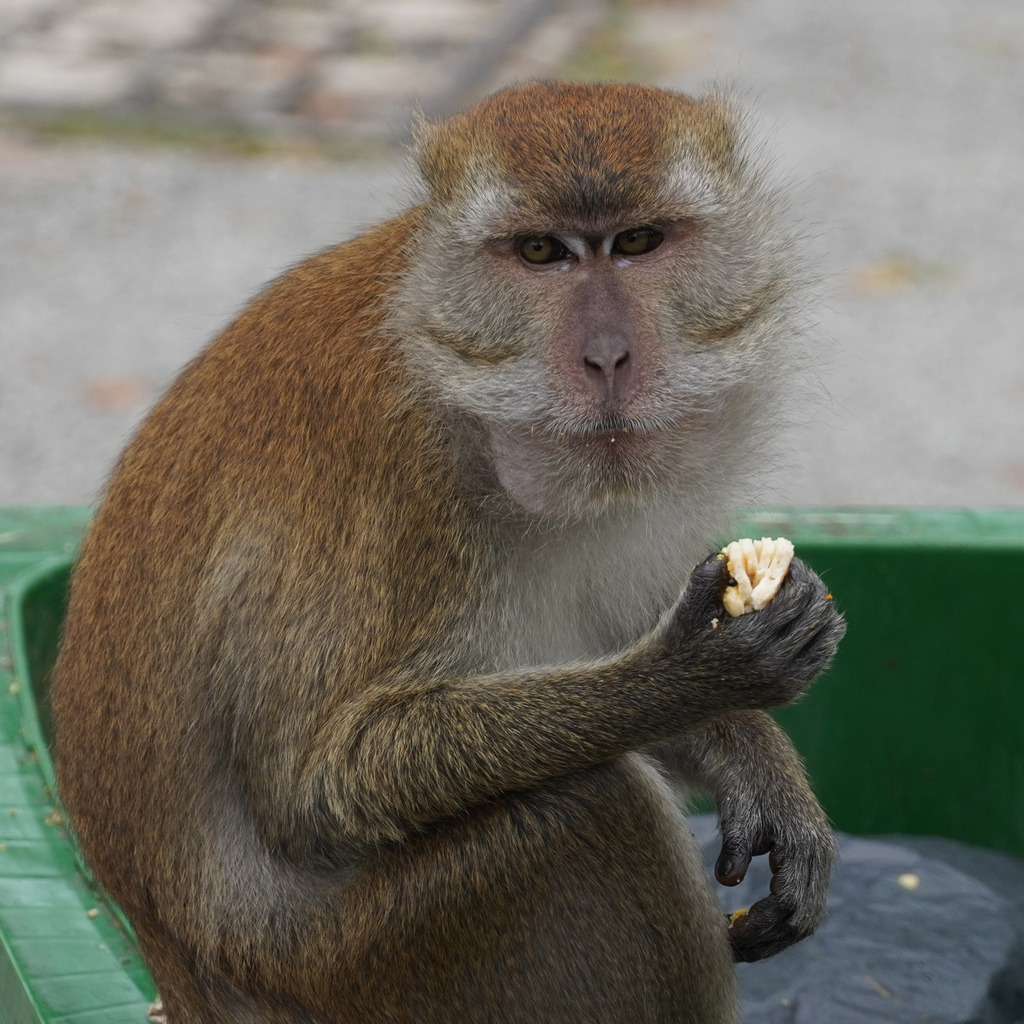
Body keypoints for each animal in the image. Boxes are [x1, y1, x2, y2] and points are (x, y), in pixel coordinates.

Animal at [51, 81, 845, 1024]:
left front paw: (752, 755)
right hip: (366, 958)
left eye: (638, 243)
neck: (467, 392)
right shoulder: (393, 484)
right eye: (541, 252)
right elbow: (317, 788)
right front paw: (698, 672)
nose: (607, 356)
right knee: (593, 808)